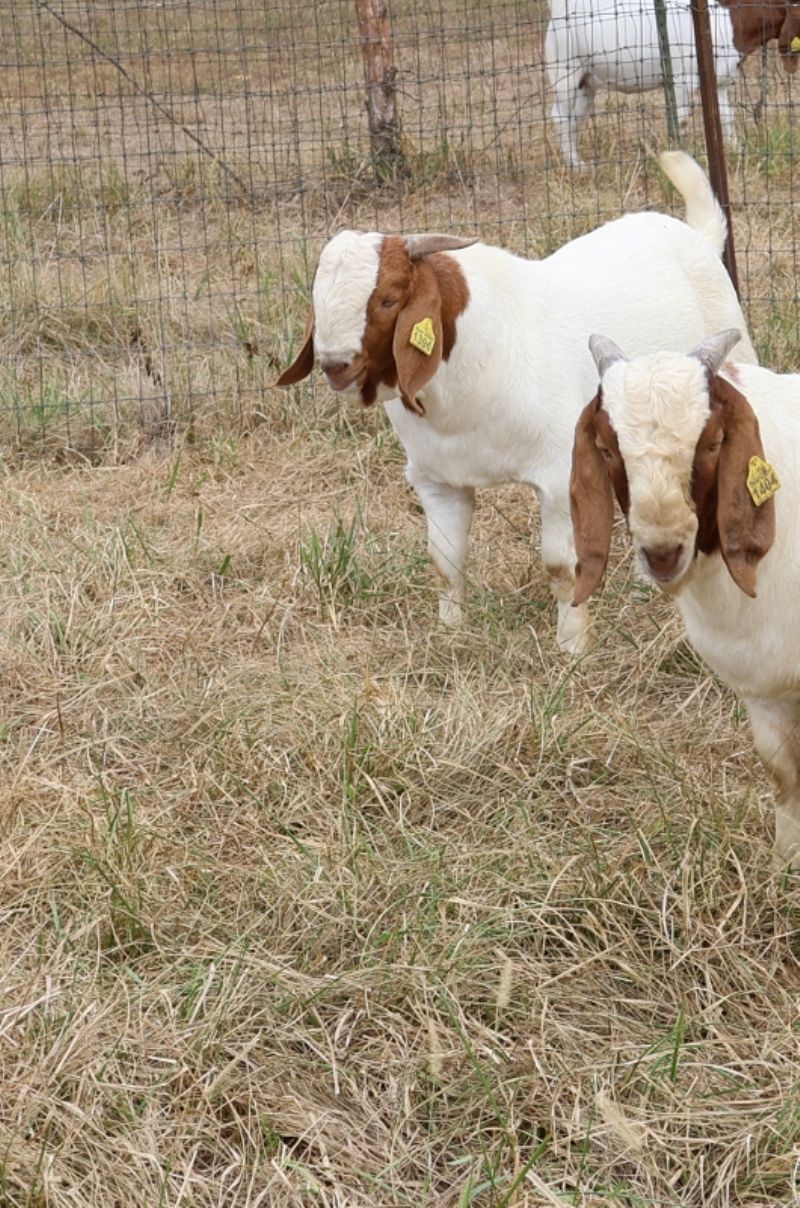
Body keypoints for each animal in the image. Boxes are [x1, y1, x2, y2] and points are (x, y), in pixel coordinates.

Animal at [275, 151, 756, 655]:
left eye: (388, 298)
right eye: (316, 300)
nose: (335, 365)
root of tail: (701, 238)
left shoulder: (559, 476)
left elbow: (561, 567)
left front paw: (573, 647)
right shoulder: (437, 480)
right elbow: (444, 560)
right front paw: (451, 632)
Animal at [545, 1, 800, 168]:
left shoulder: (720, 81)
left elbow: (726, 116)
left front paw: (738, 152)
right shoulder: (683, 80)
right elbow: (681, 119)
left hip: (587, 82)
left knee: (577, 117)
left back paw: (578, 161)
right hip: (566, 71)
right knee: (560, 115)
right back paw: (575, 166)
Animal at [570, 327, 800, 863]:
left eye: (713, 441)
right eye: (607, 449)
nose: (662, 553)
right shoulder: (765, 690)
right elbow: (783, 775)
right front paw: (786, 864)